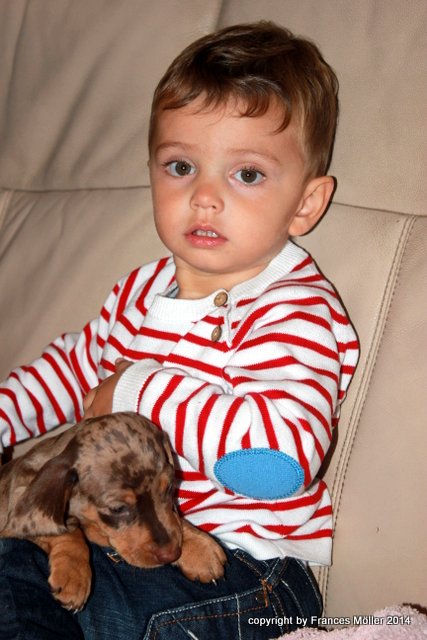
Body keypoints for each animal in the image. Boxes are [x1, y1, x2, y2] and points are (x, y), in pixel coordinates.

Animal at [0, 412, 226, 611]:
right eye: (118, 508)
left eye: (170, 487)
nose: (172, 554)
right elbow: (66, 532)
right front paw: (74, 574)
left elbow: (175, 520)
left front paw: (199, 548)